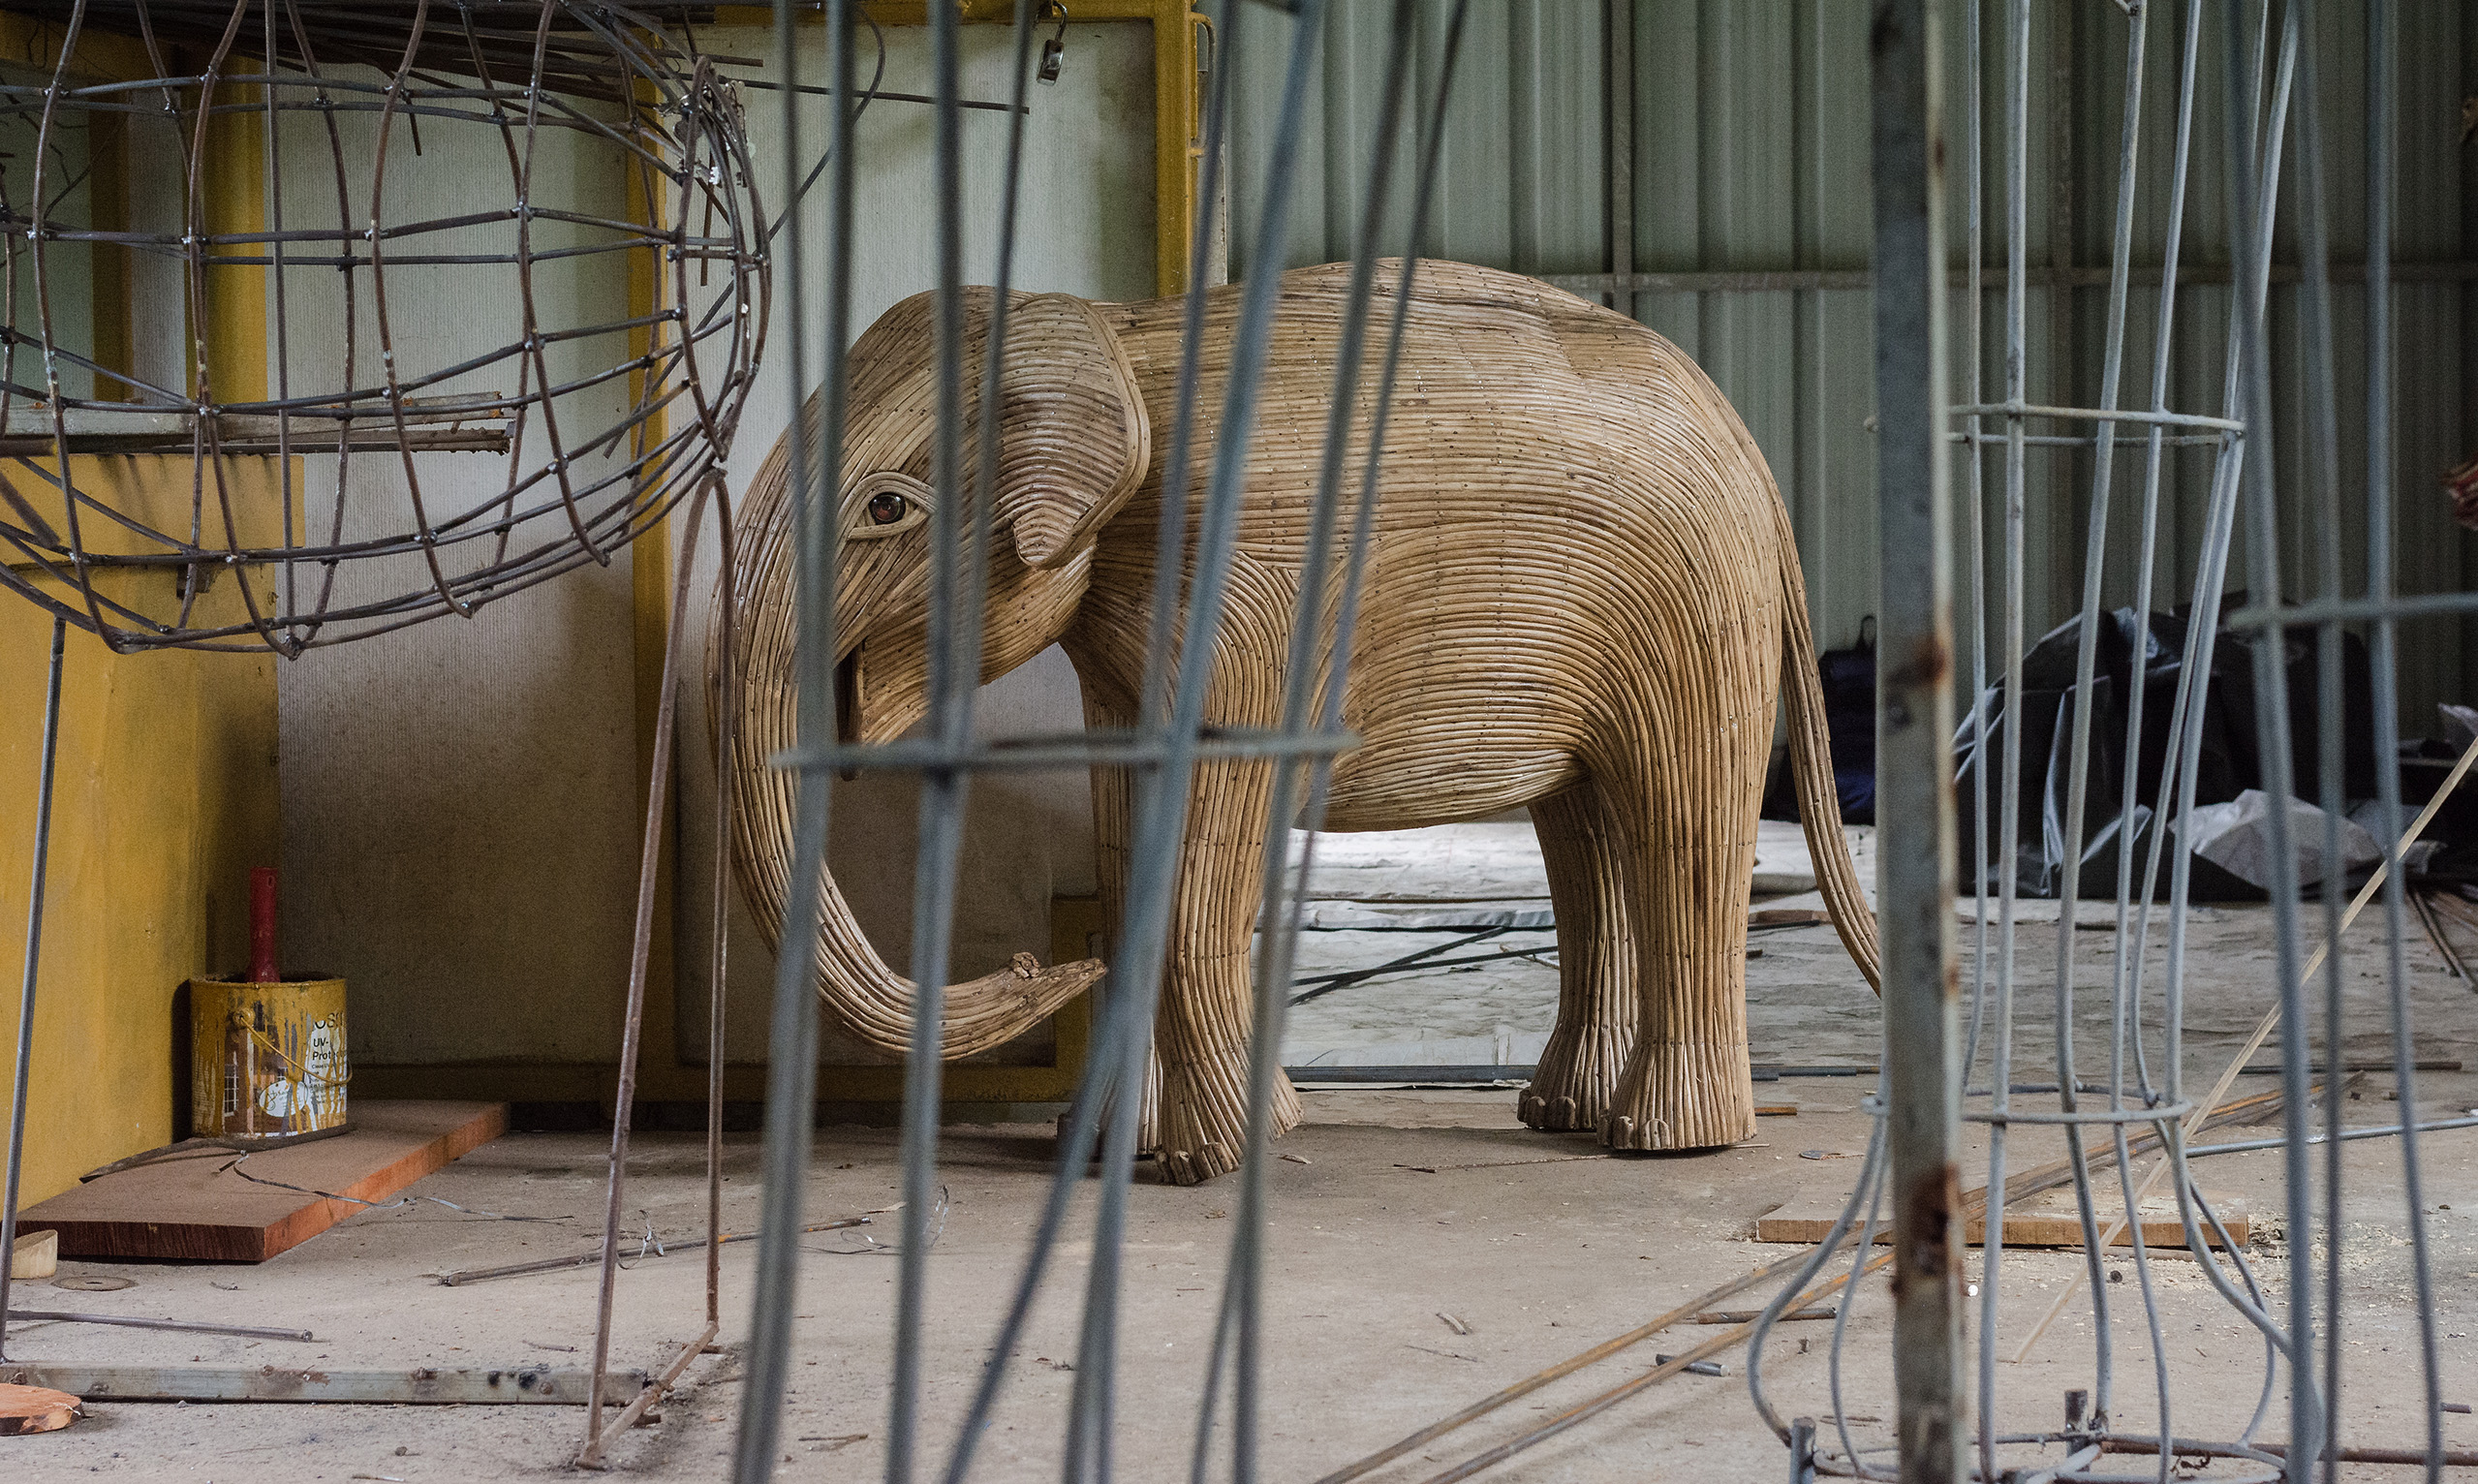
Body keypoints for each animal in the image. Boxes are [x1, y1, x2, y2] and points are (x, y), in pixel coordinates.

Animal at [718, 263, 1873, 1184]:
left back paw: (1661, 1141)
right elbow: (1127, 836)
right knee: (1584, 832)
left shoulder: (1237, 603)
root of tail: (1756, 462)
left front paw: (1210, 1162)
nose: (1035, 967)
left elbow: (1204, 858)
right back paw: (1561, 1112)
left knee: (1678, 824)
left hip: (1696, 614)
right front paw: (1114, 1154)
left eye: (884, 510)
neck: (1113, 334)